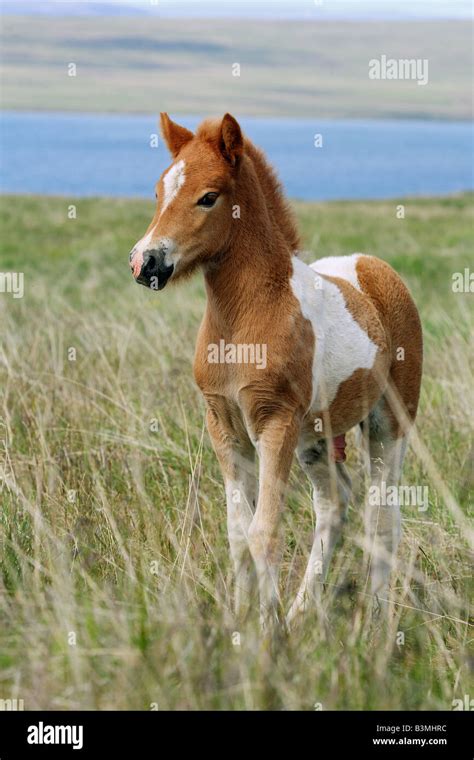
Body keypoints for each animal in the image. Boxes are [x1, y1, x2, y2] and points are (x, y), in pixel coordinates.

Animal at [129, 111, 422, 624]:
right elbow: (237, 535)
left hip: (389, 424)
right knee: (335, 506)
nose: (145, 262)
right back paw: (304, 612)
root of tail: (373, 266)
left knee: (383, 517)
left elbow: (263, 532)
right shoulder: (224, 425)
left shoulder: (275, 422)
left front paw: (267, 631)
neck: (246, 318)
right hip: (316, 438)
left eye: (208, 196)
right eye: (159, 190)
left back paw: (374, 624)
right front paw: (242, 622)